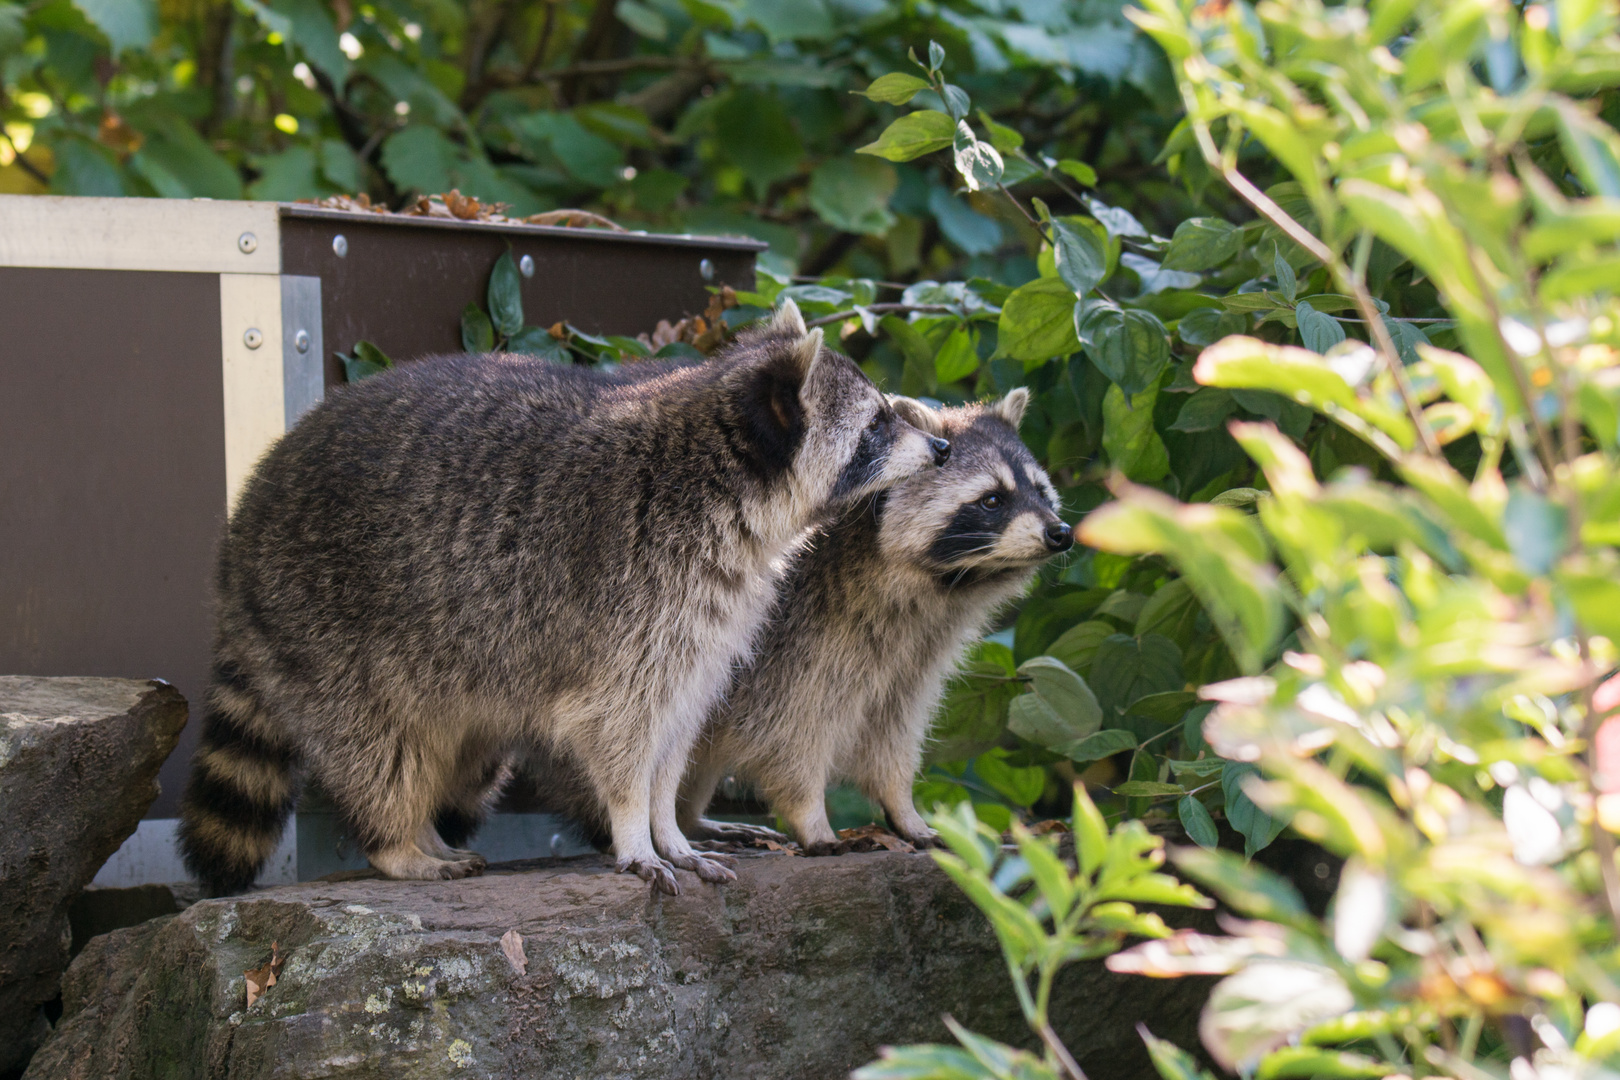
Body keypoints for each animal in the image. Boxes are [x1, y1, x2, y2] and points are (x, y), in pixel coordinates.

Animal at [174, 297, 946, 893]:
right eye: (877, 426)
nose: (940, 448)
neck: (726, 491)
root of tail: (238, 540)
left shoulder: (708, 621)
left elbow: (675, 732)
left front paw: (669, 828)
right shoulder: (631, 602)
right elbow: (620, 734)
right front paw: (635, 832)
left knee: (444, 748)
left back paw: (425, 833)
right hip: (322, 622)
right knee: (378, 747)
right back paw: (396, 844)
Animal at [486, 388, 1069, 854]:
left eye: (1041, 492)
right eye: (991, 500)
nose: (1060, 532)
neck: (933, 589)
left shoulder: (913, 652)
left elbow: (892, 730)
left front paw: (902, 806)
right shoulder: (804, 626)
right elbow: (790, 731)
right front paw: (811, 814)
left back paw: (689, 818)